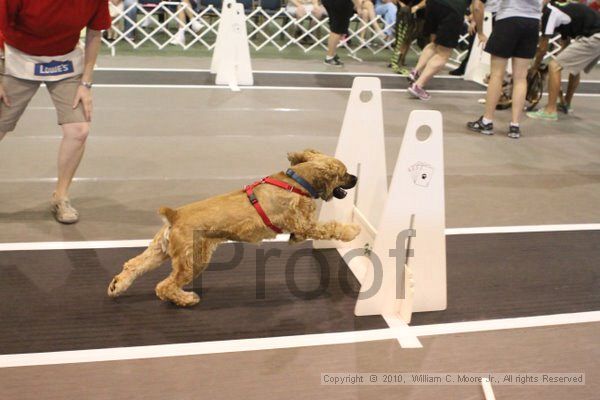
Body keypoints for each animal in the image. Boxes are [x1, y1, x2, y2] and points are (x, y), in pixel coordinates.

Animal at [106, 150, 360, 306]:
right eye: (344, 173)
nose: (357, 178)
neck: (297, 181)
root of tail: (174, 214)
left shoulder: (299, 230)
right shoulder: (304, 225)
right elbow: (331, 227)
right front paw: (352, 232)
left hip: (161, 250)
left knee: (133, 265)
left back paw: (117, 286)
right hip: (194, 259)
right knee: (164, 286)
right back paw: (186, 299)